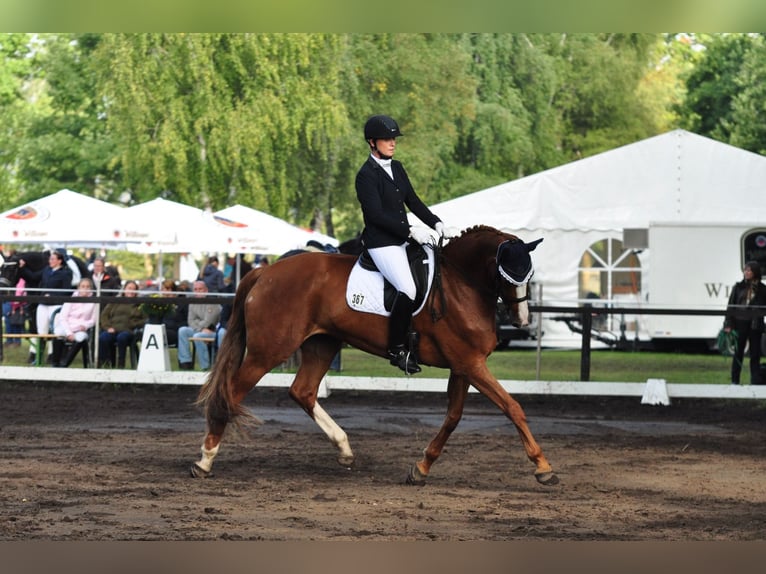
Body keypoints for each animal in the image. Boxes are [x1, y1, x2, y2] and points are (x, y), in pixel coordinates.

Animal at [195, 227, 560, 488]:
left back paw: (344, 449)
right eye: (506, 275)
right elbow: (512, 407)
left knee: (303, 391)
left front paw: (421, 468)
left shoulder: (463, 366)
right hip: (268, 350)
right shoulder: (471, 364)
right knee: (231, 393)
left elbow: (453, 418)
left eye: (529, 276)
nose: (521, 320)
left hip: (322, 344)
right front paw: (543, 468)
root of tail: (265, 272)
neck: (460, 284)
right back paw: (205, 460)